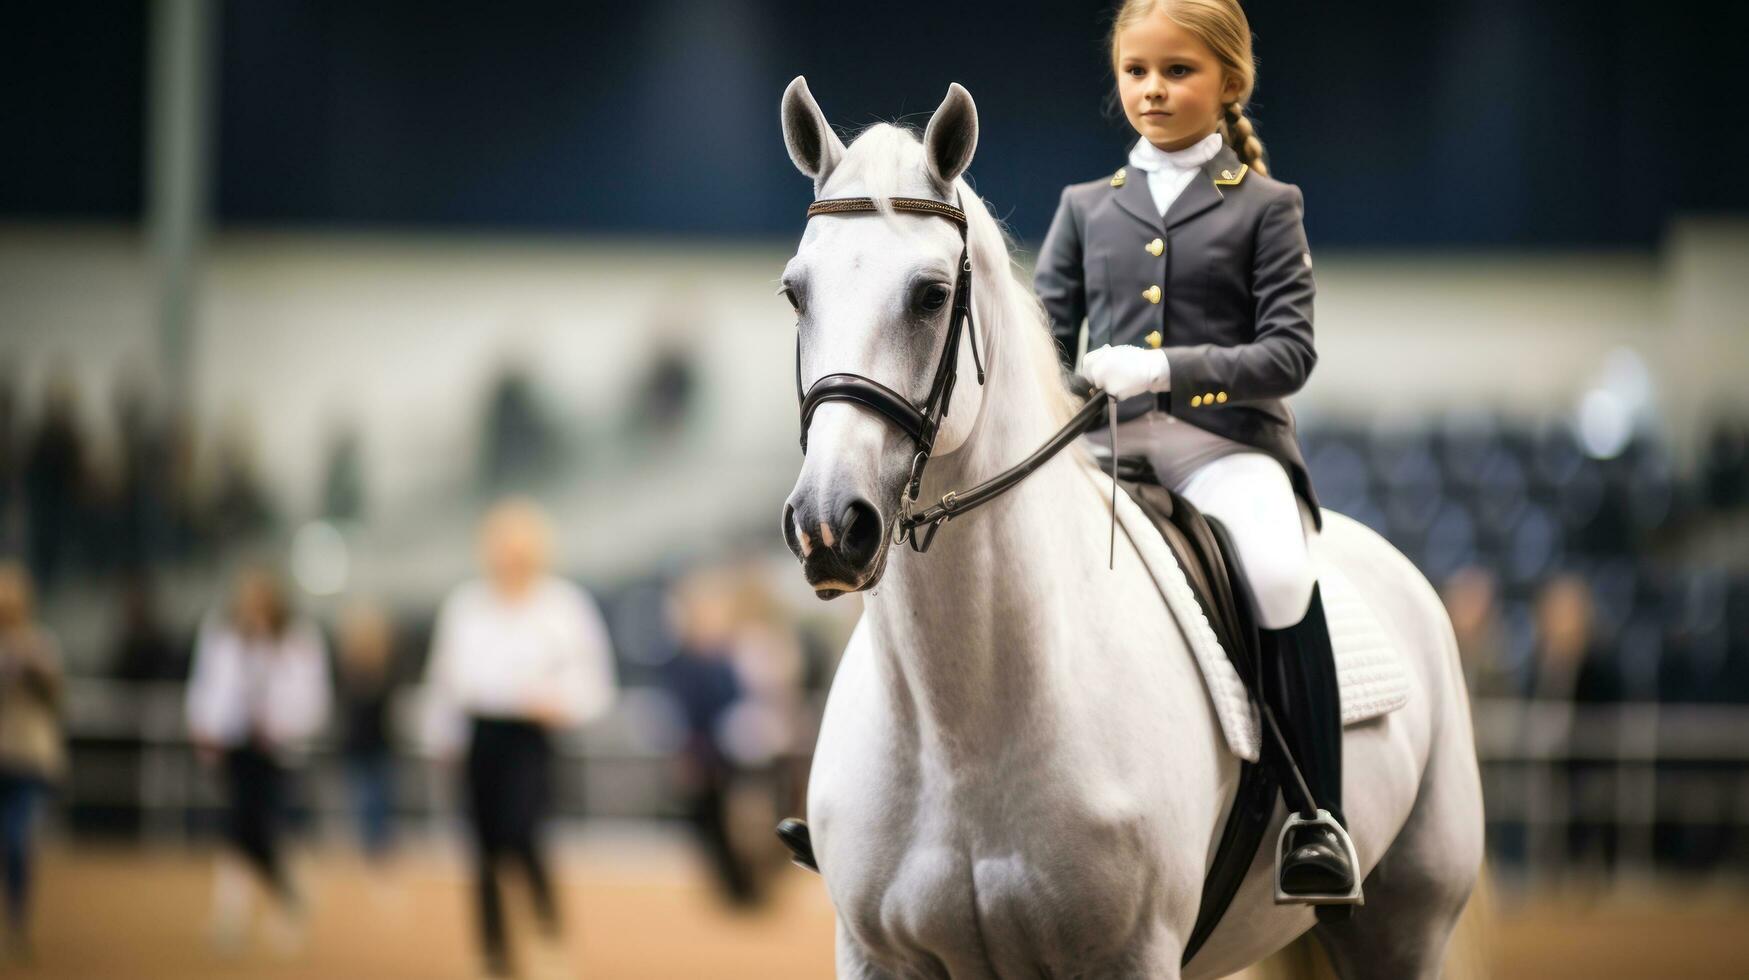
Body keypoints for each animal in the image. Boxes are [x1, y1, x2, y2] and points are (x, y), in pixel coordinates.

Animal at [787, 78, 1483, 980]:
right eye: (794, 292)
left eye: (931, 294)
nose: (828, 524)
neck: (961, 725)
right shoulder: (876, 955)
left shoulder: (1132, 952)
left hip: (1404, 923)